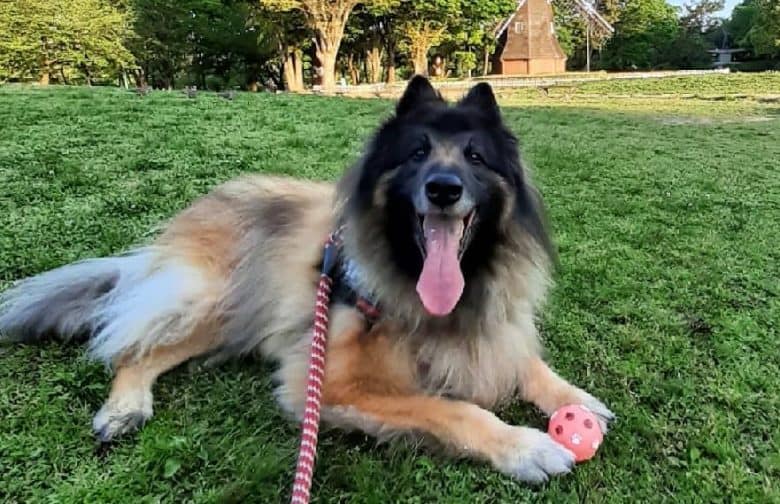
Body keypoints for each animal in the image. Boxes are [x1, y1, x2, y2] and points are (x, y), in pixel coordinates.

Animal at [0, 77, 612, 482]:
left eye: (476, 158)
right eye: (417, 153)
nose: (443, 188)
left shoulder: (496, 327)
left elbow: (528, 363)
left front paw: (573, 398)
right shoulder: (325, 383)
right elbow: (452, 408)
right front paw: (525, 447)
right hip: (214, 301)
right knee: (132, 345)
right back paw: (124, 407)